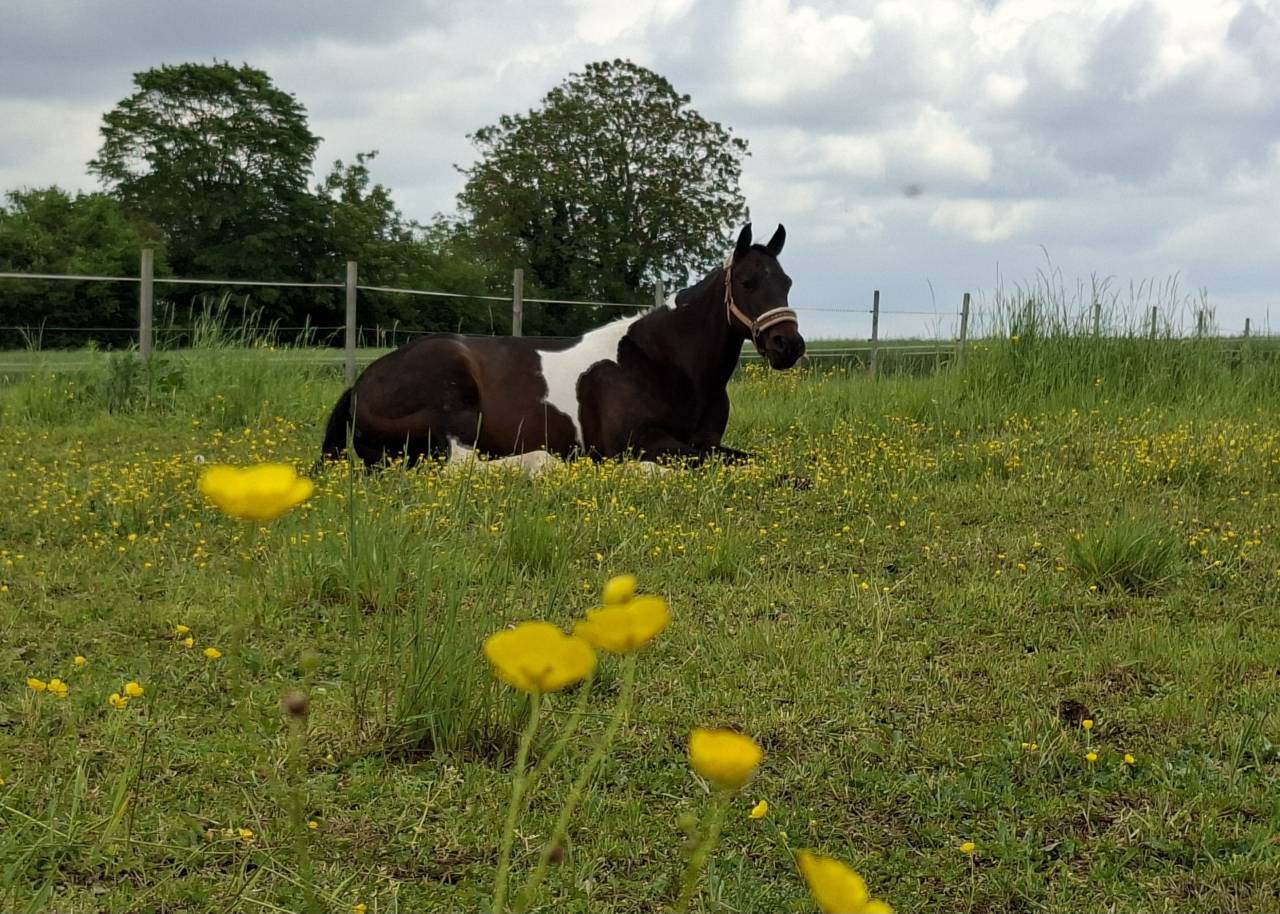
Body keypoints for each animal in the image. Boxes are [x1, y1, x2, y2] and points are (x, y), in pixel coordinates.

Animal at [320, 223, 804, 467]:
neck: (662, 362)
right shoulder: (641, 441)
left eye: (786, 282)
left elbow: (753, 460)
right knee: (463, 464)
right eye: (747, 282)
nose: (789, 345)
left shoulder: (704, 441)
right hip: (452, 405)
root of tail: (359, 387)